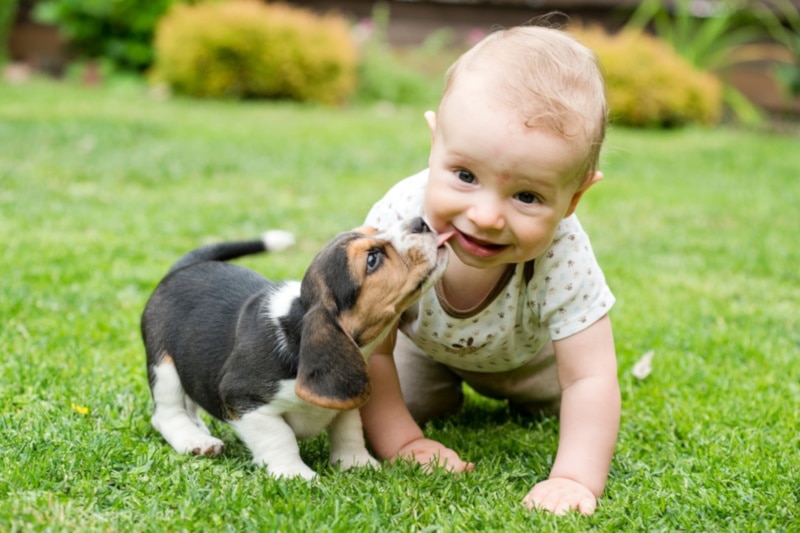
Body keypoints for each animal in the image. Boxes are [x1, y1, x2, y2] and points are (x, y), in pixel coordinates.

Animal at [140, 216, 446, 478]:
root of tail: (183, 268)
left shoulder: (347, 396)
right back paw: (194, 439)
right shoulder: (245, 399)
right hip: (163, 366)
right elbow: (279, 437)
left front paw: (356, 463)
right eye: (372, 259)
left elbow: (349, 429)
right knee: (167, 413)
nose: (421, 221)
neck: (297, 330)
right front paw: (295, 474)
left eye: (374, 230)